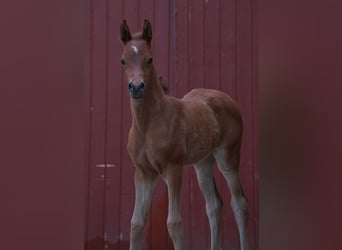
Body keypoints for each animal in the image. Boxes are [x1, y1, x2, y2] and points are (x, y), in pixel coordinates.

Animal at [119, 19, 248, 250]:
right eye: (123, 60)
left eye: (150, 59)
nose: (136, 87)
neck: (148, 125)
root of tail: (226, 97)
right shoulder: (143, 172)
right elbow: (136, 224)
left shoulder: (173, 168)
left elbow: (175, 224)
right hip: (203, 163)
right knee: (214, 205)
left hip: (228, 158)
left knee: (239, 203)